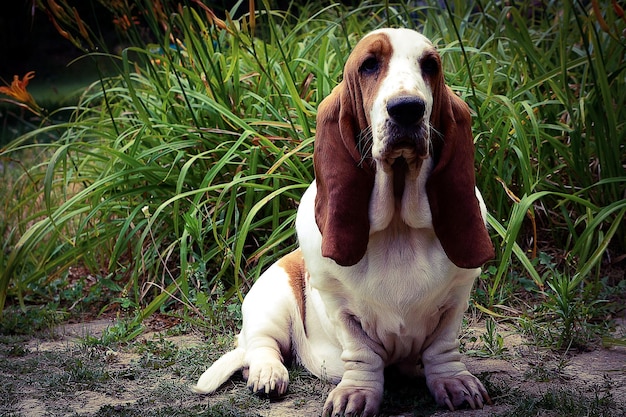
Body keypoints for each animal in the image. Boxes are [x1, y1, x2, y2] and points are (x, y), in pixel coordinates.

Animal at [193, 27, 494, 414]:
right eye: (369, 65)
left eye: (430, 65)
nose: (408, 109)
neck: (398, 224)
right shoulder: (341, 308)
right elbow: (362, 353)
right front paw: (356, 395)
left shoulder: (456, 297)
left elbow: (443, 347)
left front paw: (455, 383)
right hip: (270, 301)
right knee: (260, 347)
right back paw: (267, 375)